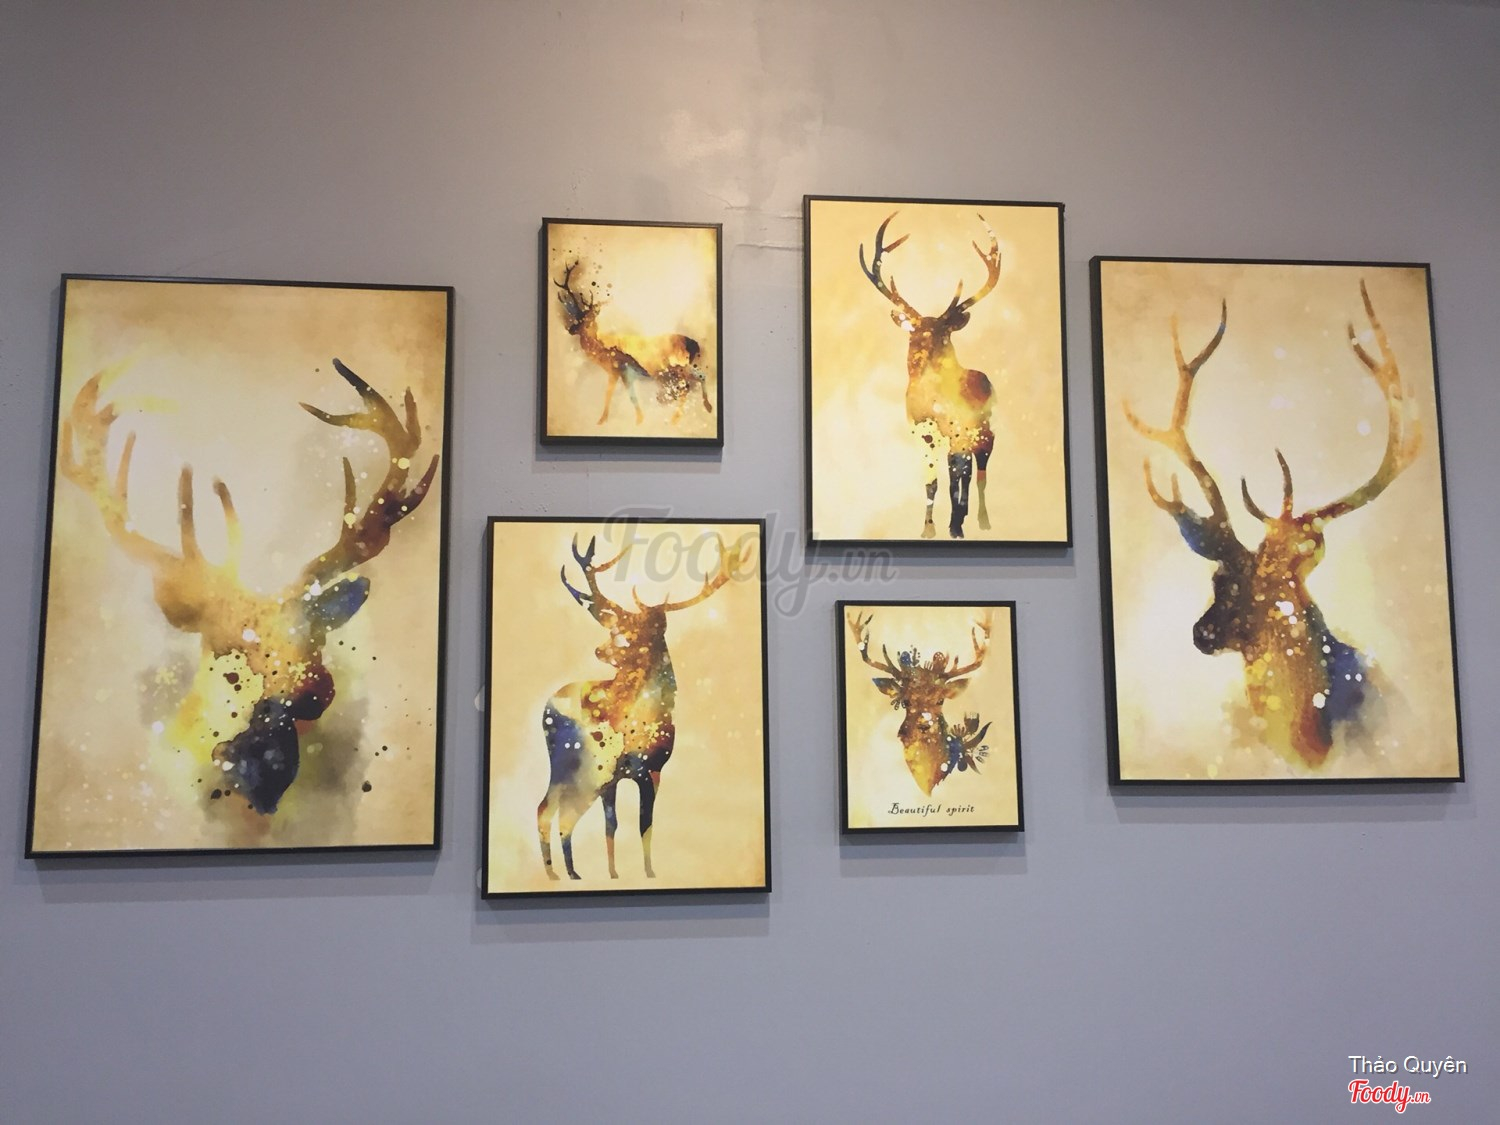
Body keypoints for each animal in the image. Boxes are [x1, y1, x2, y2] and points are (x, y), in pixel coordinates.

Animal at [537, 530, 749, 881]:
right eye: (618, 627)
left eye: (637, 631)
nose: (600, 650)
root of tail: (546, 707)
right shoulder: (614, 774)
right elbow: (616, 824)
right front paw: (619, 875)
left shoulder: (653, 769)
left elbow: (640, 825)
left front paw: (636, 873)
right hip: (572, 764)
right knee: (553, 809)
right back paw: (562, 874)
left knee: (555, 809)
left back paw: (565, 873)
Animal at [553, 260, 713, 426]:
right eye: (577, 317)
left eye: (586, 321)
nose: (570, 329)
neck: (603, 351)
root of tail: (693, 344)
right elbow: (625, 395)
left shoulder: (620, 370)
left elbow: (619, 394)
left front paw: (609, 421)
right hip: (682, 367)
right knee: (700, 376)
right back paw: (707, 407)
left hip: (676, 367)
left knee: (686, 387)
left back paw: (675, 419)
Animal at [860, 212, 1002, 539]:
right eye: (915, 332)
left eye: (944, 333)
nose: (923, 354)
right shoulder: (921, 432)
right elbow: (933, 482)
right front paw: (929, 528)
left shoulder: (960, 429)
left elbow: (957, 477)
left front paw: (956, 526)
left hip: (984, 429)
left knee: (979, 471)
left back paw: (981, 520)